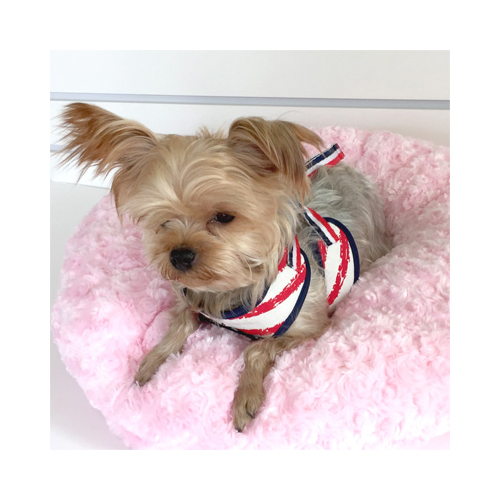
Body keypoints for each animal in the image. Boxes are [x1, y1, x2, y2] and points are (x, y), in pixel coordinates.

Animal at [58, 103, 390, 432]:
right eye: (163, 221)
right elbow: (180, 324)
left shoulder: (313, 328)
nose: (179, 256)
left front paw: (245, 398)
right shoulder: (192, 300)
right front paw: (153, 361)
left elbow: (257, 348)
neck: (228, 289)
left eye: (224, 217)